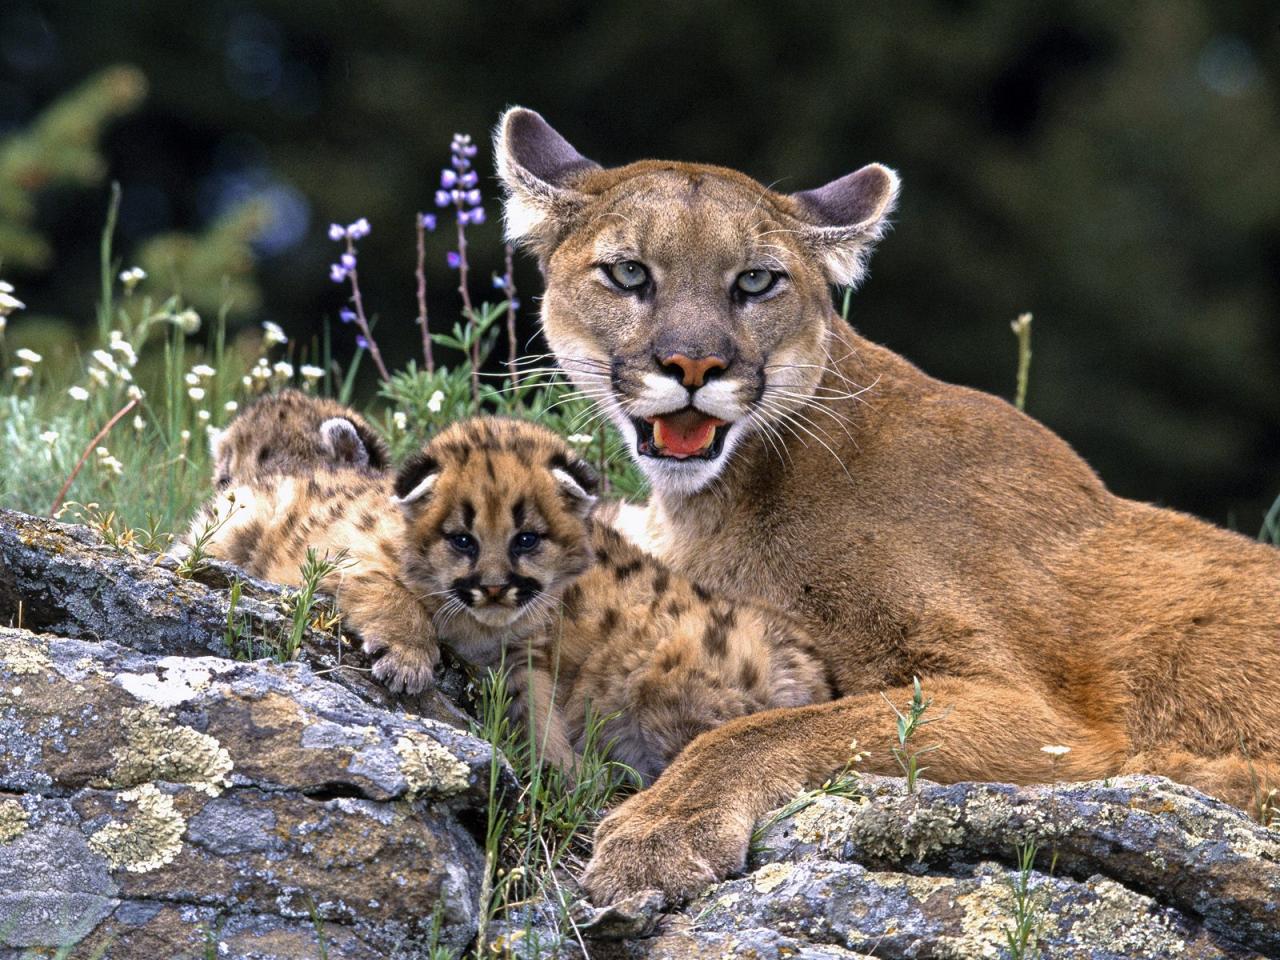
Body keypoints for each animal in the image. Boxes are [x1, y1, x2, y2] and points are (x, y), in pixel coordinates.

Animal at [491, 106, 1280, 911]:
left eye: (756, 281)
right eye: (628, 273)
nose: (694, 365)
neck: (725, 497)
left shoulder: (1034, 710)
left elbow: (774, 730)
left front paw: (660, 831)